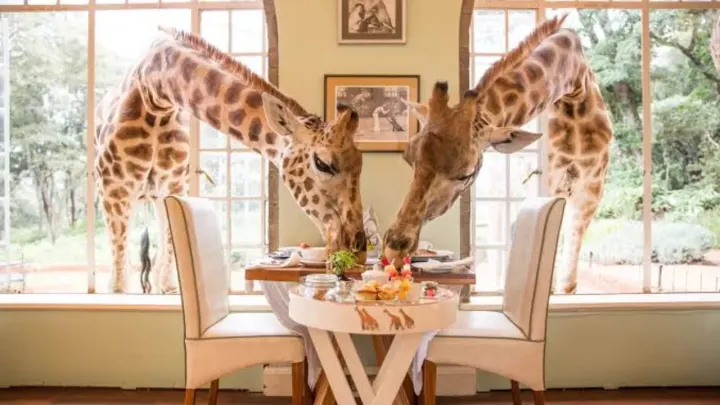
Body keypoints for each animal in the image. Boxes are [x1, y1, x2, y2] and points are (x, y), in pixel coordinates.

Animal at [94, 27, 367, 294]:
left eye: (360, 164)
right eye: (322, 163)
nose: (359, 250)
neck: (157, 93)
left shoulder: (174, 186)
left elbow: (168, 263)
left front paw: (168, 286)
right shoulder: (114, 188)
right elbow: (118, 286)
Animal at [382, 14, 613, 295]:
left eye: (467, 173)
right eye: (408, 158)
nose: (393, 249)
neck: (574, 88)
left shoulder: (590, 189)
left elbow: (567, 282)